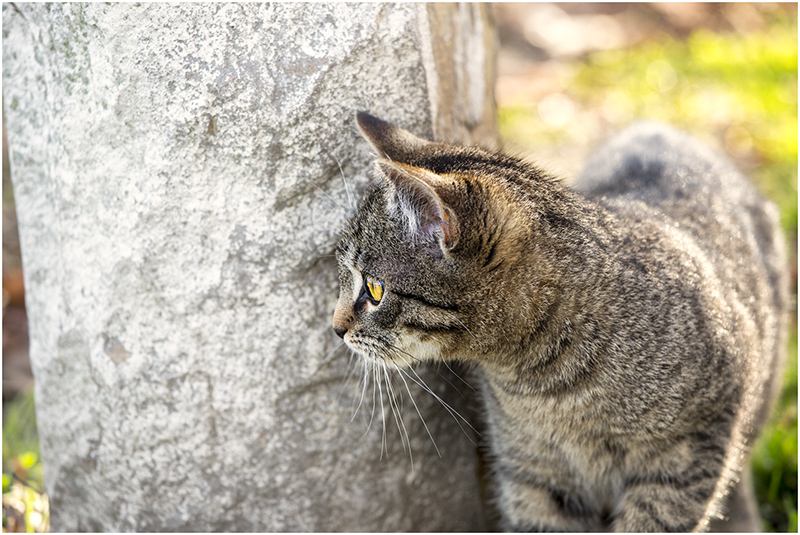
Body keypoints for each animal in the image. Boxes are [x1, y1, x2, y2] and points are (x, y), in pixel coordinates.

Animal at [332, 112, 788, 532]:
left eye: (373, 289)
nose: (336, 328)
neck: (546, 386)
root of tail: (658, 128)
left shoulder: (686, 460)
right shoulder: (532, 477)